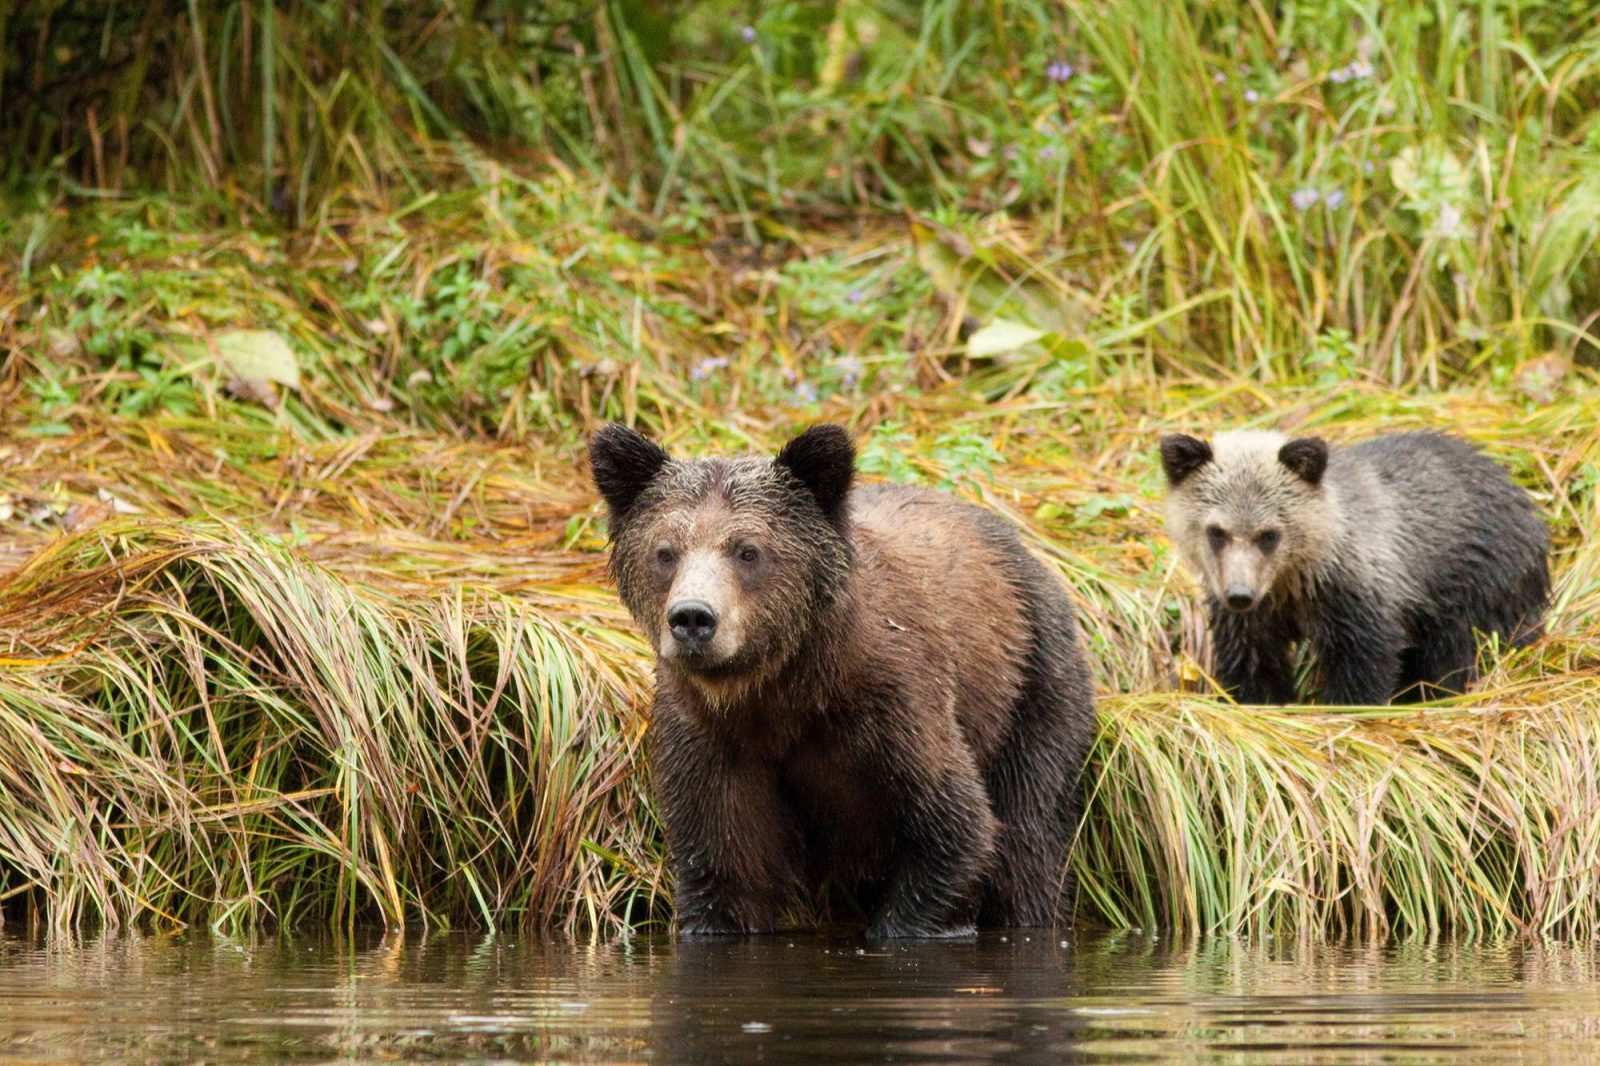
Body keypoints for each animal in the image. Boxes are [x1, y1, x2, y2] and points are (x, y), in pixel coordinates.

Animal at [592, 419, 1100, 934]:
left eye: (748, 550)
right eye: (665, 551)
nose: (693, 618)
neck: (784, 690)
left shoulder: (894, 710)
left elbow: (956, 830)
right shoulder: (712, 738)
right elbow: (725, 868)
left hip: (1033, 685)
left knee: (1030, 839)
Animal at [1164, 422, 1548, 704]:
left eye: (1269, 534)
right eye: (1217, 531)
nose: (1240, 595)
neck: (1295, 578)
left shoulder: (1356, 593)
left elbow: (1363, 662)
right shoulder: (1254, 617)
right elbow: (1254, 664)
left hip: (1478, 587)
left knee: (1458, 654)